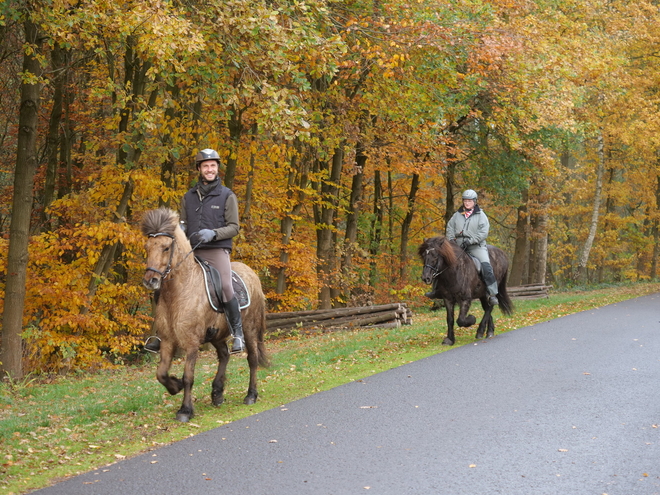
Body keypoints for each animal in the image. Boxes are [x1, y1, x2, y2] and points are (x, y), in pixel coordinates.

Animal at [141, 208, 270, 422]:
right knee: (224, 355)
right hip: (217, 334)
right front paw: (174, 386)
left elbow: (188, 377)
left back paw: (251, 395)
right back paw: (217, 393)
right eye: (147, 247)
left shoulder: (192, 343)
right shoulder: (167, 341)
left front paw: (185, 410)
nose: (150, 280)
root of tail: (251, 273)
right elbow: (161, 373)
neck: (179, 292)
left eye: (166, 248)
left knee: (252, 359)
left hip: (249, 330)